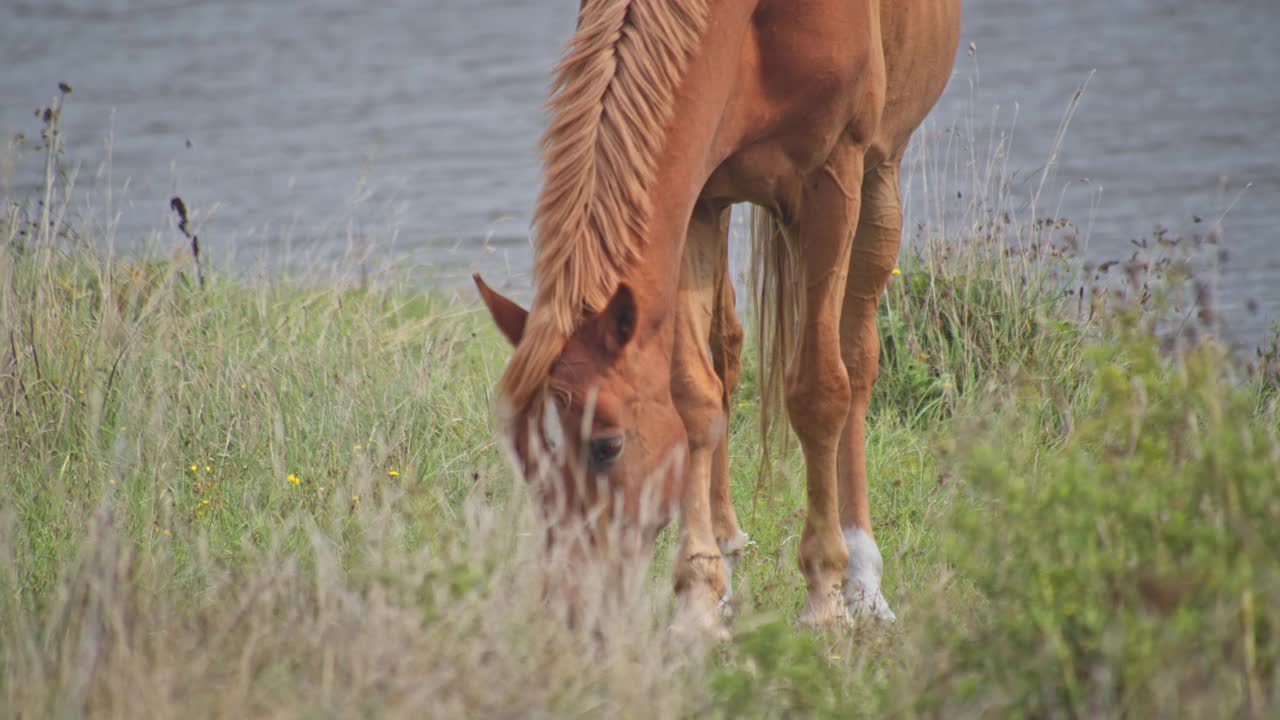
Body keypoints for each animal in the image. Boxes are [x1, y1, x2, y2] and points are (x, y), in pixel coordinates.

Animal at [478, 0, 962, 625]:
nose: (572, 608)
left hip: (881, 174)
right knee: (726, 350)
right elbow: (694, 399)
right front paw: (699, 601)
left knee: (856, 359)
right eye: (523, 454)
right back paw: (729, 550)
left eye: (607, 446)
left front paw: (823, 595)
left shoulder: (833, 176)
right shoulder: (700, 197)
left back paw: (863, 579)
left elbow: (820, 390)